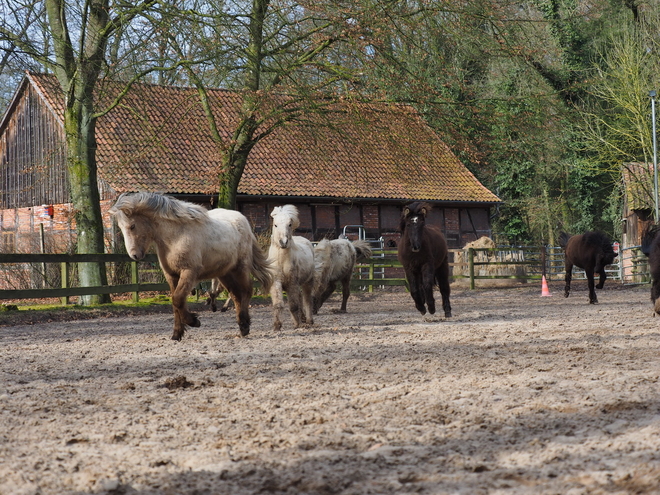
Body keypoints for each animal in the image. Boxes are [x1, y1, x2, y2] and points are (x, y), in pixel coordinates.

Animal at [111, 194, 274, 340]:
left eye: (132, 226)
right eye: (120, 227)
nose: (134, 255)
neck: (175, 237)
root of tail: (244, 221)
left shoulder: (189, 272)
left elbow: (177, 299)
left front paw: (194, 321)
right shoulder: (171, 275)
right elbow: (176, 303)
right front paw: (177, 334)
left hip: (241, 268)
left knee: (246, 291)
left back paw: (244, 325)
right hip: (225, 273)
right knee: (235, 295)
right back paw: (240, 325)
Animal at [270, 205, 318, 334]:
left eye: (289, 224)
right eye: (275, 225)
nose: (283, 242)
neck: (281, 260)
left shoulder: (292, 283)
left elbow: (293, 305)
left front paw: (297, 324)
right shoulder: (276, 282)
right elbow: (278, 304)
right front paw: (277, 326)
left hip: (308, 281)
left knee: (307, 299)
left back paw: (308, 320)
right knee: (300, 297)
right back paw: (302, 317)